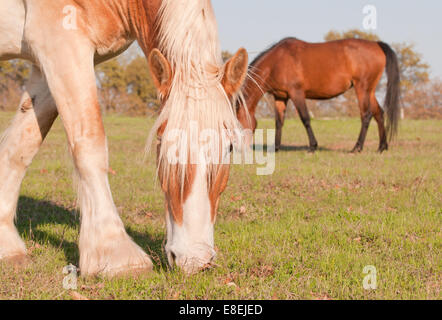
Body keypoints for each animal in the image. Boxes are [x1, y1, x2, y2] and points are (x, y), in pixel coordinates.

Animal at [0, 0, 249, 276]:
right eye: (163, 141)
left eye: (229, 147)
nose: (195, 260)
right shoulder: (60, 40)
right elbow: (90, 143)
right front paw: (117, 255)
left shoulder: (46, 61)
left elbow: (21, 145)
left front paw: (7, 246)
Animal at [238, 37, 400, 152]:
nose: (237, 149)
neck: (277, 62)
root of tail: (376, 44)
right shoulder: (280, 96)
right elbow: (279, 122)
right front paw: (276, 148)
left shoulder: (297, 93)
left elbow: (305, 119)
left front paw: (312, 146)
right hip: (370, 90)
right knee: (379, 114)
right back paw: (382, 147)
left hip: (362, 88)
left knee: (366, 115)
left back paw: (357, 148)